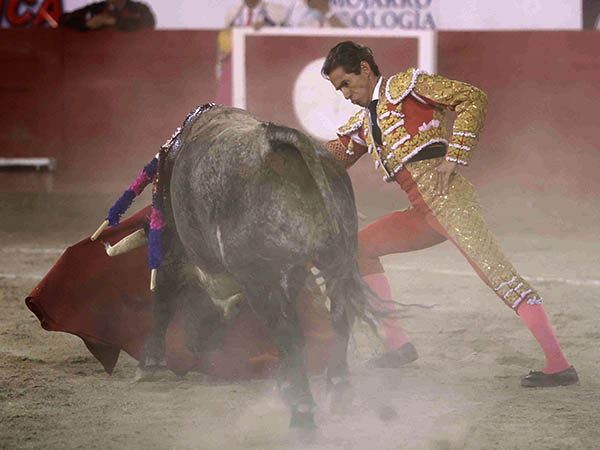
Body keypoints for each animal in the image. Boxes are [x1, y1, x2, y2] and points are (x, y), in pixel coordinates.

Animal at [107, 104, 382, 429]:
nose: (202, 345)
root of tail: (276, 142)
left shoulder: (170, 244)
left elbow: (163, 294)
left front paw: (149, 364)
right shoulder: (292, 269)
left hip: (258, 276)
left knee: (288, 330)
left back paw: (301, 411)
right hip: (336, 258)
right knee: (337, 317)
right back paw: (336, 392)